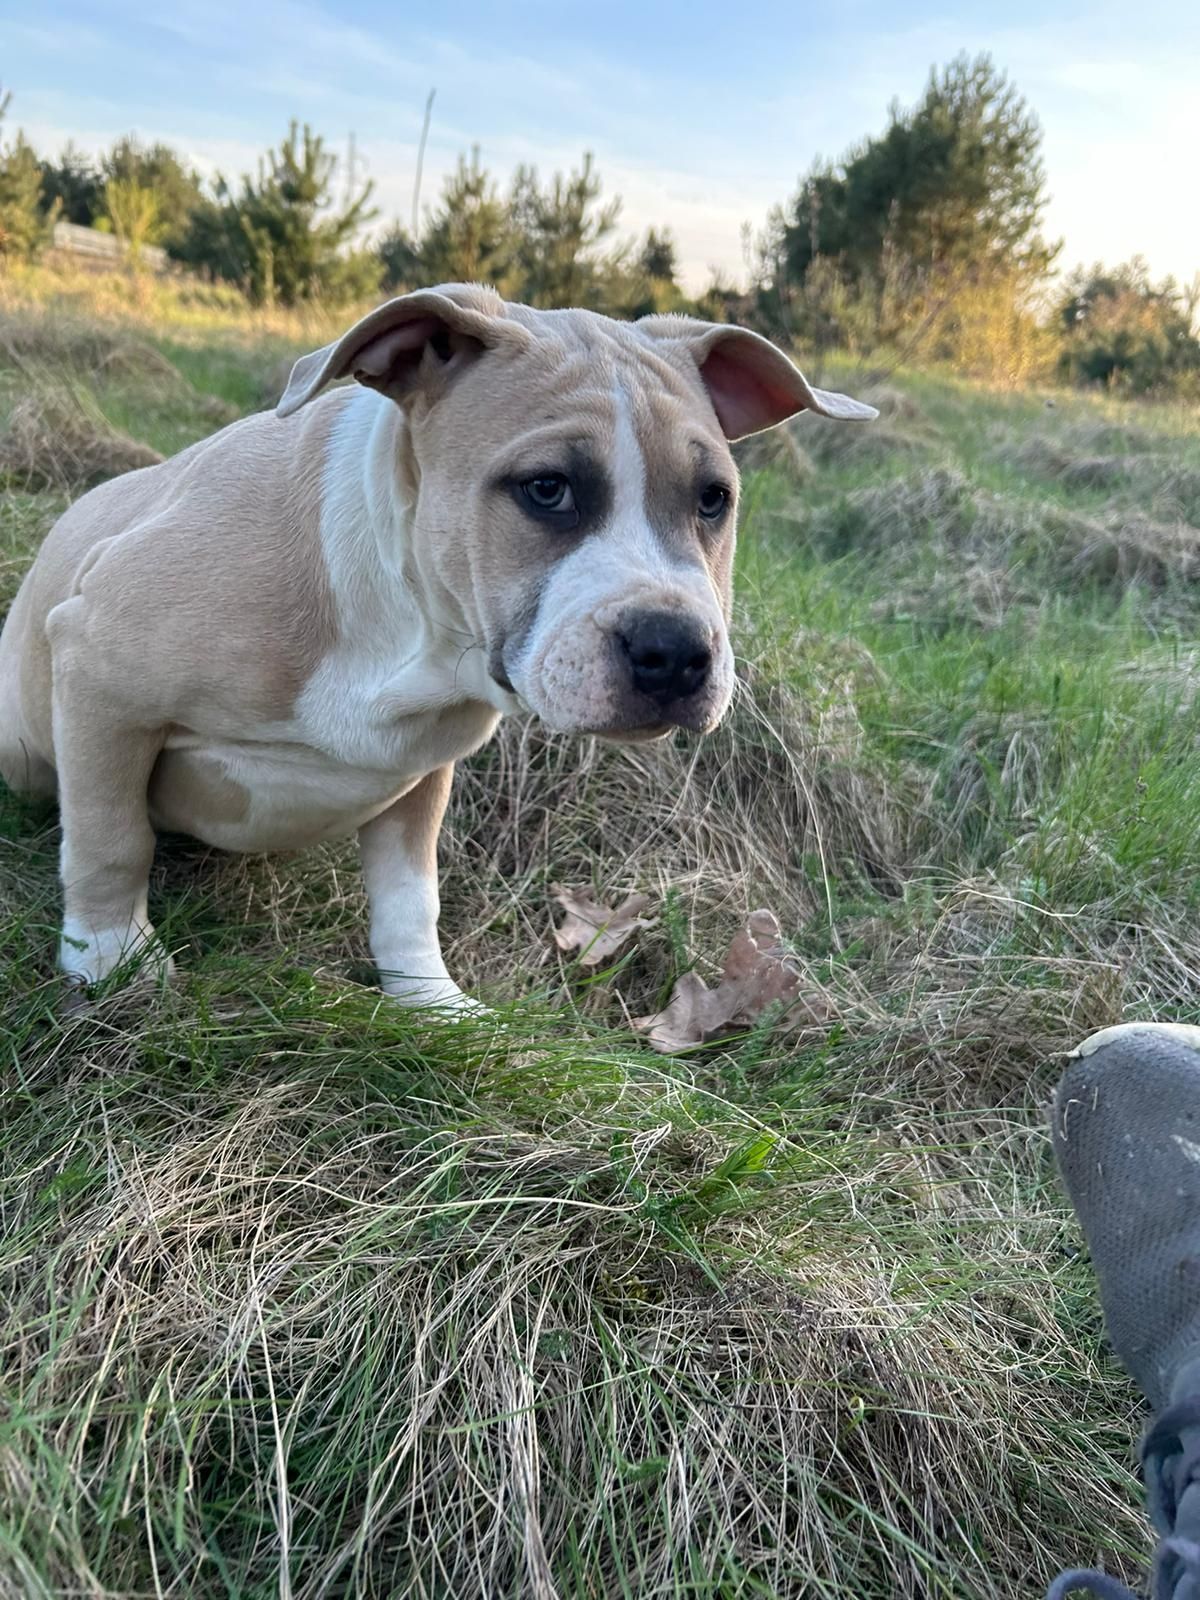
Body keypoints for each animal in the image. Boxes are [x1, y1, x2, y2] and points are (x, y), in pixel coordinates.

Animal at [0, 286, 876, 1004]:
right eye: (547, 489)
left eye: (713, 500)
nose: (676, 652)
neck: (410, 632)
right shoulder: (99, 669)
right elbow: (113, 837)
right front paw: (112, 961)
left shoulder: (420, 772)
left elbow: (409, 900)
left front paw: (431, 1003)